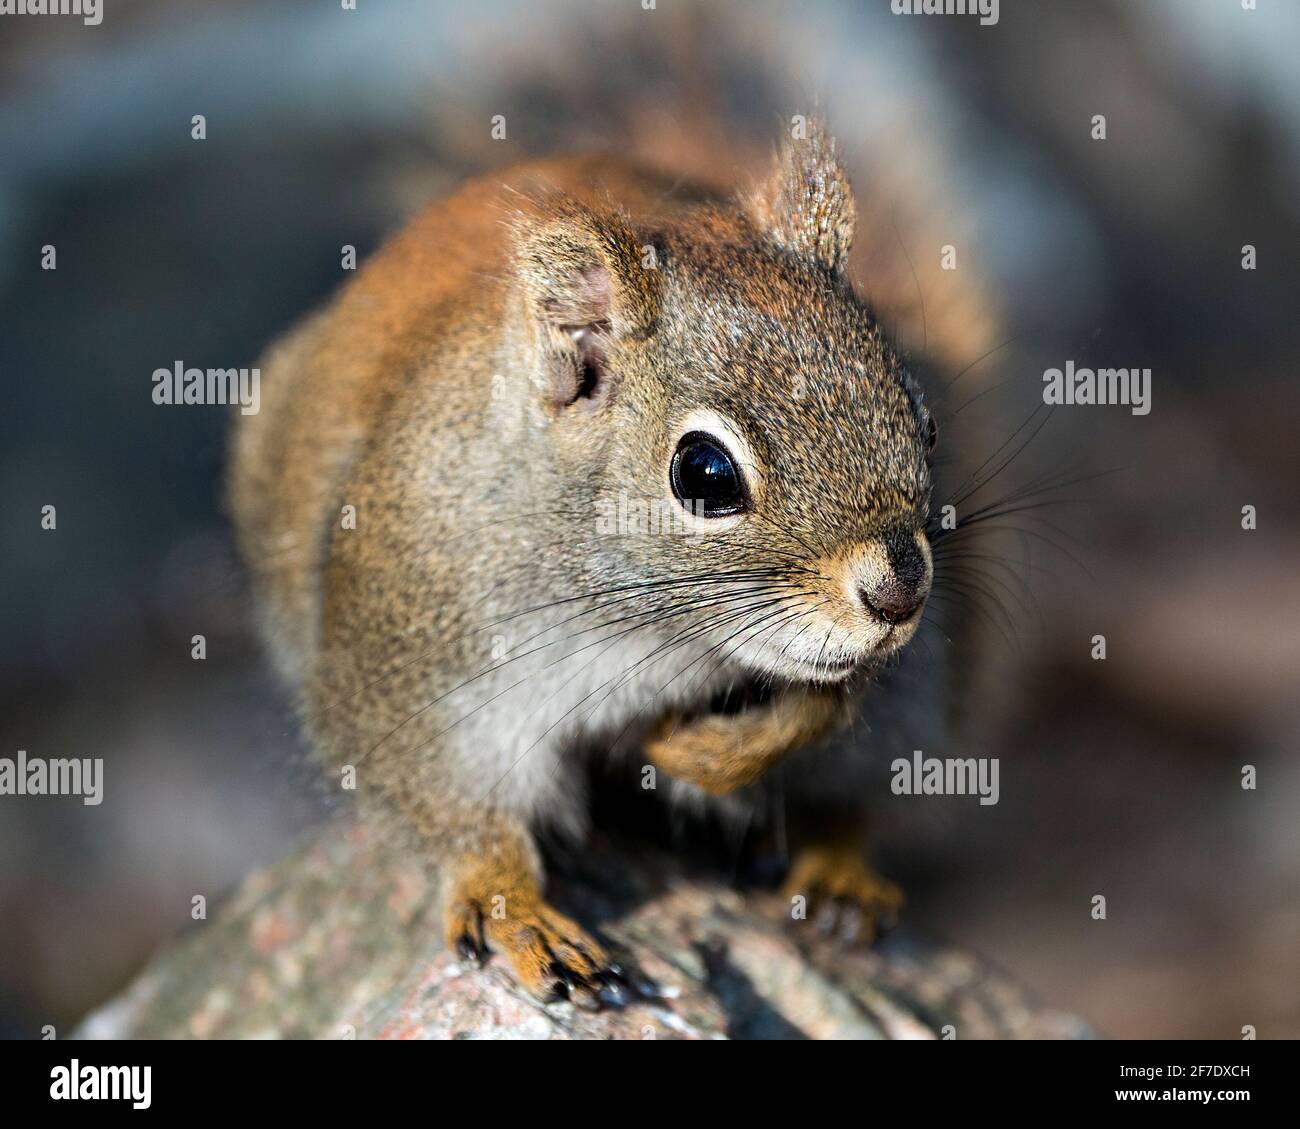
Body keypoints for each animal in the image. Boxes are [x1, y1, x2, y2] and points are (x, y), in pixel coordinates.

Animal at [228, 120, 956, 1005]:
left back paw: (840, 872)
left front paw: (695, 754)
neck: (644, 630)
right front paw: (510, 906)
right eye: (704, 473)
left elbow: (826, 703)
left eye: (924, 419)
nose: (899, 590)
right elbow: (448, 799)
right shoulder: (412, 663)